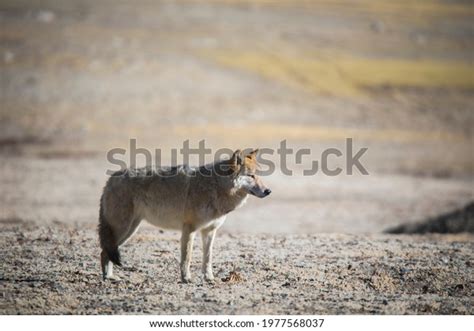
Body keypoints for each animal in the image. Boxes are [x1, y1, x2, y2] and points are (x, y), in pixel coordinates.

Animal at [99, 150, 270, 282]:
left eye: (258, 175)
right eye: (251, 176)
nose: (268, 191)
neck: (216, 187)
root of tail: (110, 179)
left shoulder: (209, 231)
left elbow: (207, 258)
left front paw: (209, 278)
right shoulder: (189, 228)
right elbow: (187, 258)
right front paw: (186, 278)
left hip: (130, 229)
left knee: (106, 251)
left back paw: (110, 277)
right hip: (123, 229)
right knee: (104, 251)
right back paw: (108, 277)